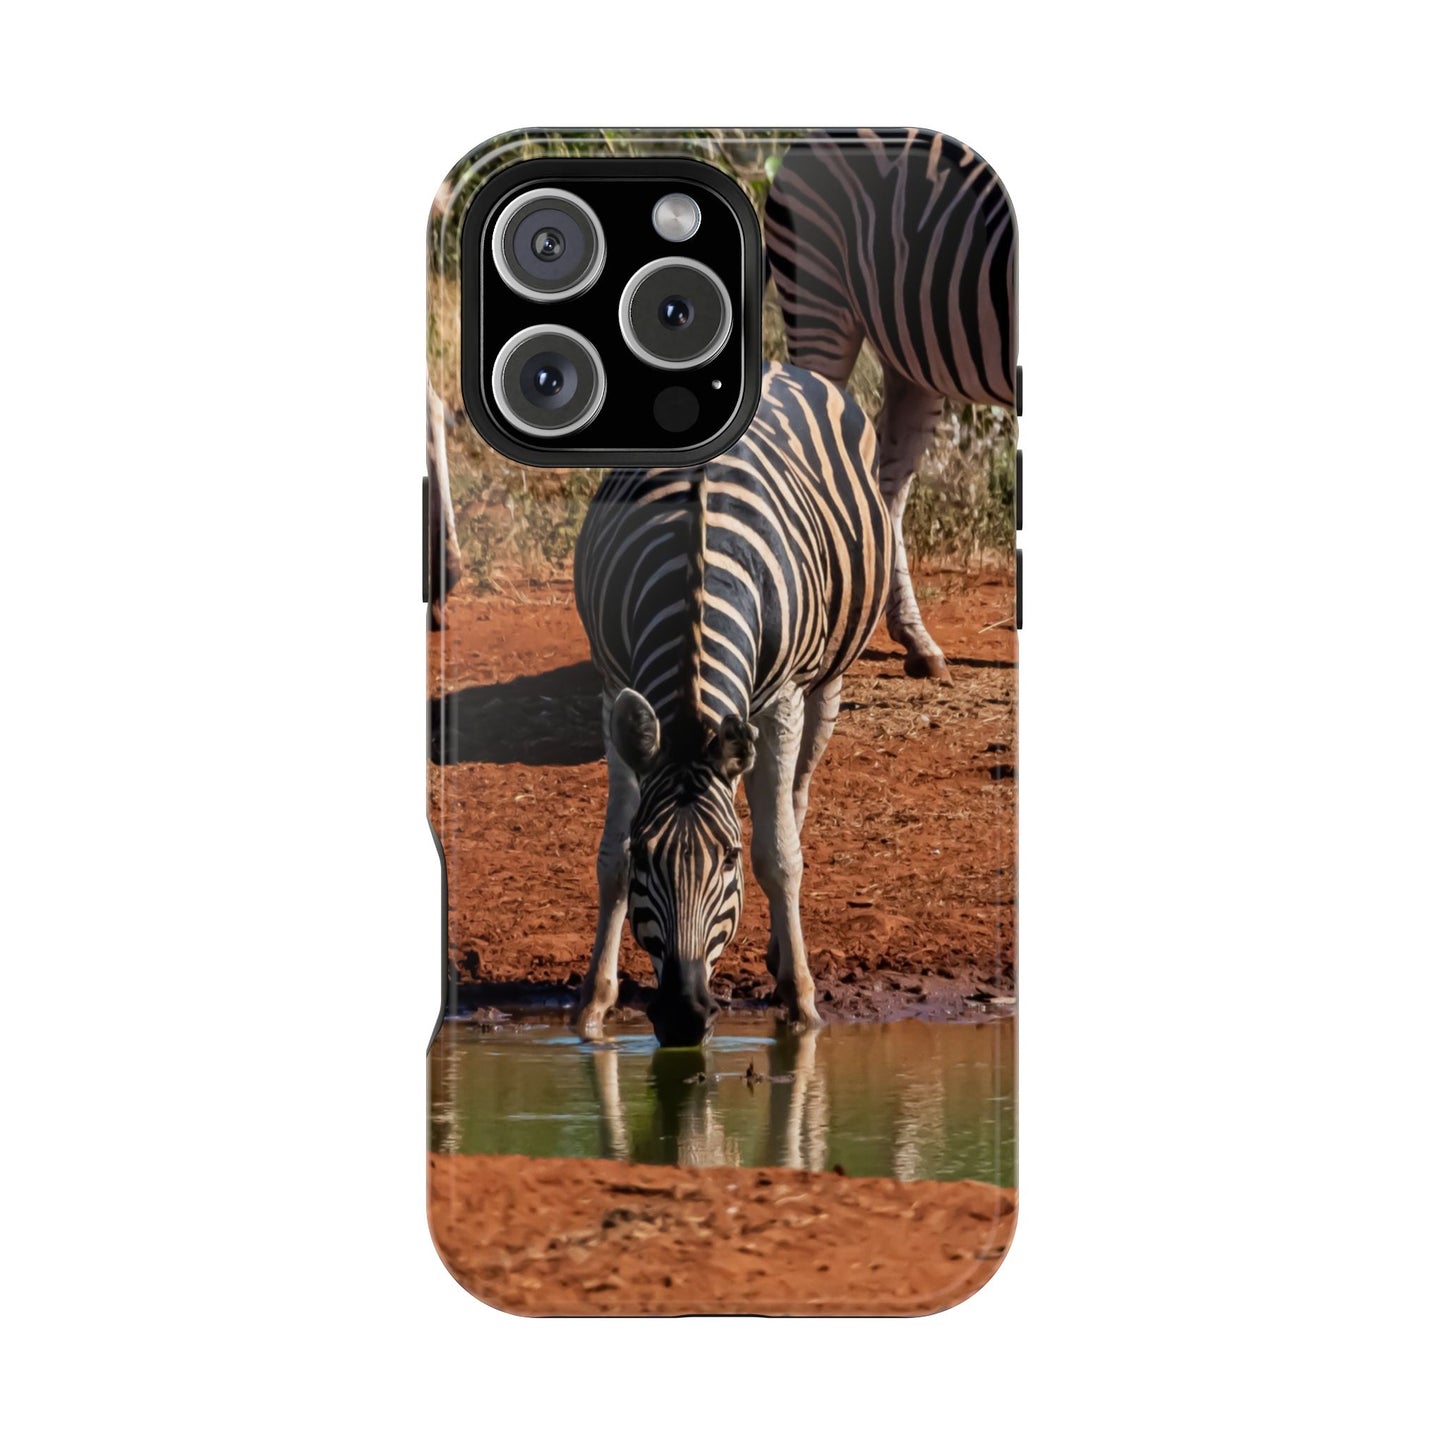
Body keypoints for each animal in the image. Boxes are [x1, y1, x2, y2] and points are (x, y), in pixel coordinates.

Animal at [573, 361, 892, 1046]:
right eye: (647, 854)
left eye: (728, 859)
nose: (683, 1016)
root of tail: (773, 362)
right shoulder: (613, 688)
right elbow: (609, 859)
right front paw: (593, 1004)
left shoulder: (782, 700)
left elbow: (780, 856)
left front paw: (801, 1003)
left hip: (824, 682)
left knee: (794, 800)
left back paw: (781, 955)